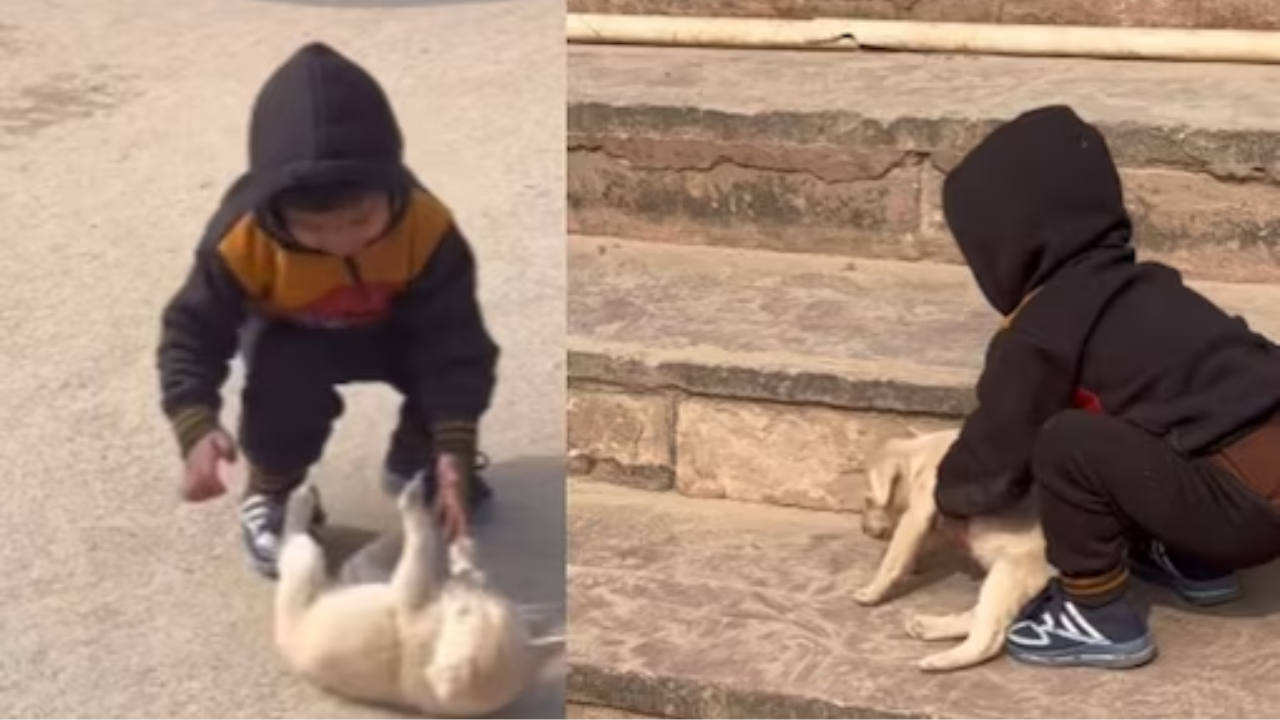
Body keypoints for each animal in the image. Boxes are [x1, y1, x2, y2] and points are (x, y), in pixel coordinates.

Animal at [272, 474, 563, 712]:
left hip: (301, 591)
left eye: (463, 611)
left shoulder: (412, 614)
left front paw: (413, 503)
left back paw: (301, 501)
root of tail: (286, 643)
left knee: (303, 550)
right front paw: (464, 556)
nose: (454, 586)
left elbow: (415, 562)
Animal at [855, 422, 1054, 671]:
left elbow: (895, 556)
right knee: (978, 618)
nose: (863, 530)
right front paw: (915, 566)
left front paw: (872, 591)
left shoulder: (918, 512)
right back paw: (928, 627)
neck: (924, 453)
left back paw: (941, 660)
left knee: (987, 638)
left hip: (1010, 573)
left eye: (868, 501)